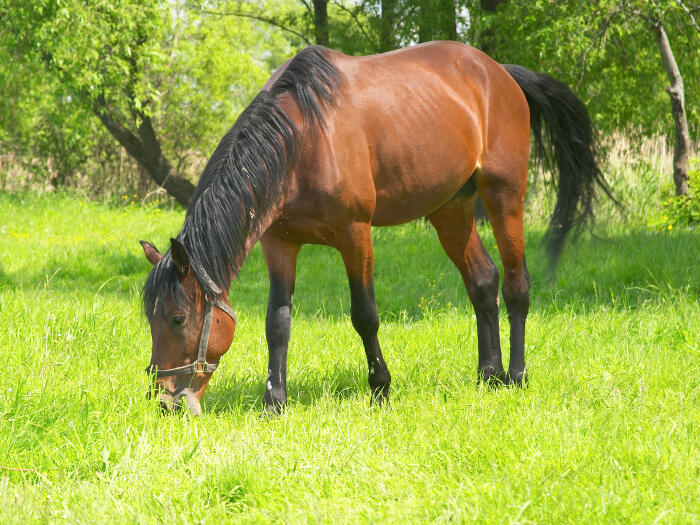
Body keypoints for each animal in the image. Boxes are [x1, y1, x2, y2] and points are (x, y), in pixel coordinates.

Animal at [142, 41, 612, 414]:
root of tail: (499, 73)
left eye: (178, 318)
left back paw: (515, 375)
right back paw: (488, 374)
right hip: (450, 210)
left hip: (504, 197)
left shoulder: (356, 234)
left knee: (516, 284)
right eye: (150, 317)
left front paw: (381, 389)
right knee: (483, 281)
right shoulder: (279, 244)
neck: (301, 140)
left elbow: (364, 315)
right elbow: (277, 322)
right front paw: (274, 402)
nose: (164, 401)